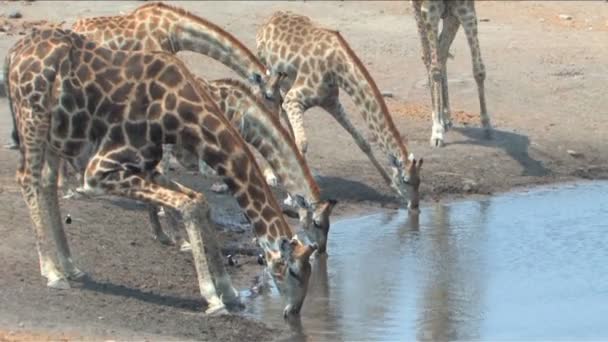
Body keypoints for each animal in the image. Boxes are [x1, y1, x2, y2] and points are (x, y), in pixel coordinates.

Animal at [7, 27, 316, 318]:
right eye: (294, 271)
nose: (292, 311)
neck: (180, 115)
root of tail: (14, 53)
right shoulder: (99, 171)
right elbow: (188, 204)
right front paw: (212, 297)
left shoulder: (143, 165)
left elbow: (198, 202)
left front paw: (228, 293)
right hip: (32, 117)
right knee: (27, 179)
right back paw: (52, 271)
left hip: (56, 135)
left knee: (46, 182)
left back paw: (70, 267)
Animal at [152, 77, 340, 254]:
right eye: (318, 223)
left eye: (329, 224)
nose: (321, 249)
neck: (248, 119)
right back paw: (179, 240)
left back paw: (163, 234)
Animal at [255, 10, 422, 211]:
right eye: (406, 180)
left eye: (419, 181)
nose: (415, 205)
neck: (337, 68)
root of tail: (270, 18)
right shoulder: (295, 98)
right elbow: (302, 143)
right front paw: (291, 197)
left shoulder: (331, 102)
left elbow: (362, 141)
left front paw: (393, 189)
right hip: (270, 72)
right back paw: (271, 176)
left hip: (286, 84)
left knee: (282, 118)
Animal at [410, 0, 492, 147]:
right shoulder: (430, 11)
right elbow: (435, 70)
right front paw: (437, 131)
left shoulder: (466, 10)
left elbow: (479, 70)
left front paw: (486, 125)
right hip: (417, 10)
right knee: (427, 58)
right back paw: (437, 116)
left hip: (451, 19)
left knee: (442, 54)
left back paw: (446, 117)